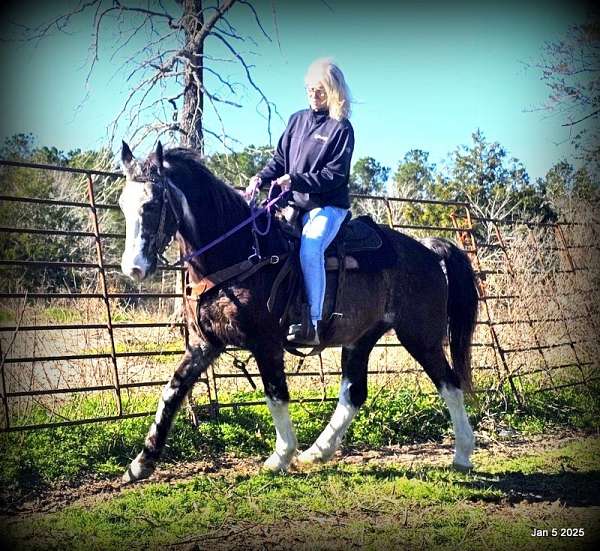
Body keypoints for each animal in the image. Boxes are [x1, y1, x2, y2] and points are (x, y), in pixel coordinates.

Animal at [119, 142, 480, 484]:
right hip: (361, 338)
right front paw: (141, 464)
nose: (133, 268)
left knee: (450, 384)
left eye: (152, 204)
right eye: (123, 204)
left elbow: (276, 394)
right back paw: (318, 452)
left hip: (420, 336)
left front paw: (280, 457)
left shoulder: (266, 343)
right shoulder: (204, 344)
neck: (240, 253)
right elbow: (172, 391)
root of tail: (428, 250)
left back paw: (463, 454)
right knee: (354, 393)